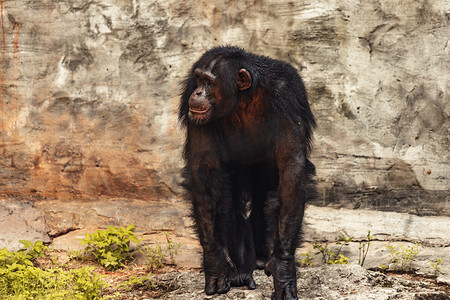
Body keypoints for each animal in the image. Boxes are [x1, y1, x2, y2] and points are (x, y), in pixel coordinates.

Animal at [179, 45, 316, 300]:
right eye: (198, 79)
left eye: (209, 82)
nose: (198, 93)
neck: (242, 97)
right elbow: (204, 170)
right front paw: (216, 263)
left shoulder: (289, 97)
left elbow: (292, 167)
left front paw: (283, 268)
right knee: (228, 200)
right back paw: (240, 272)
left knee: (269, 198)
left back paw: (262, 258)